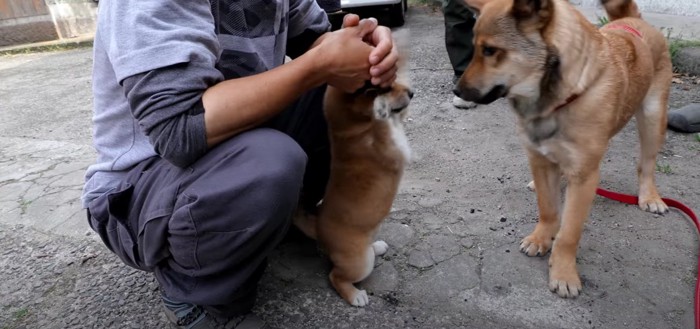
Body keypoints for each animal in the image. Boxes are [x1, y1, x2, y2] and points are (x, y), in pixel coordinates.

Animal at [454, 0, 672, 298]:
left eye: (490, 50)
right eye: (475, 48)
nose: (457, 90)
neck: (561, 98)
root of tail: (633, 21)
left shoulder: (584, 176)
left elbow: (569, 233)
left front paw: (563, 272)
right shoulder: (538, 159)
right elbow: (547, 209)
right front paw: (541, 237)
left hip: (652, 118)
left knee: (646, 164)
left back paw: (649, 195)